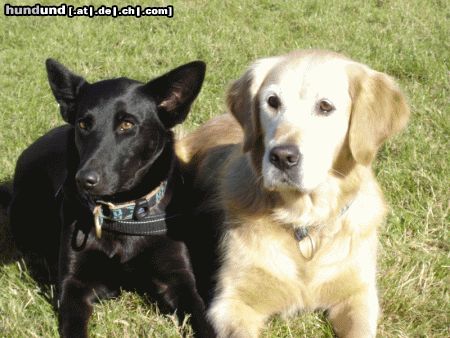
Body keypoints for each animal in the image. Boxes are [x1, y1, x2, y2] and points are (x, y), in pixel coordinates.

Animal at [8, 59, 213, 336]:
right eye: (84, 124)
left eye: (127, 124)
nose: (84, 179)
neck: (122, 212)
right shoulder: (74, 284)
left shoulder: (179, 279)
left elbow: (202, 317)